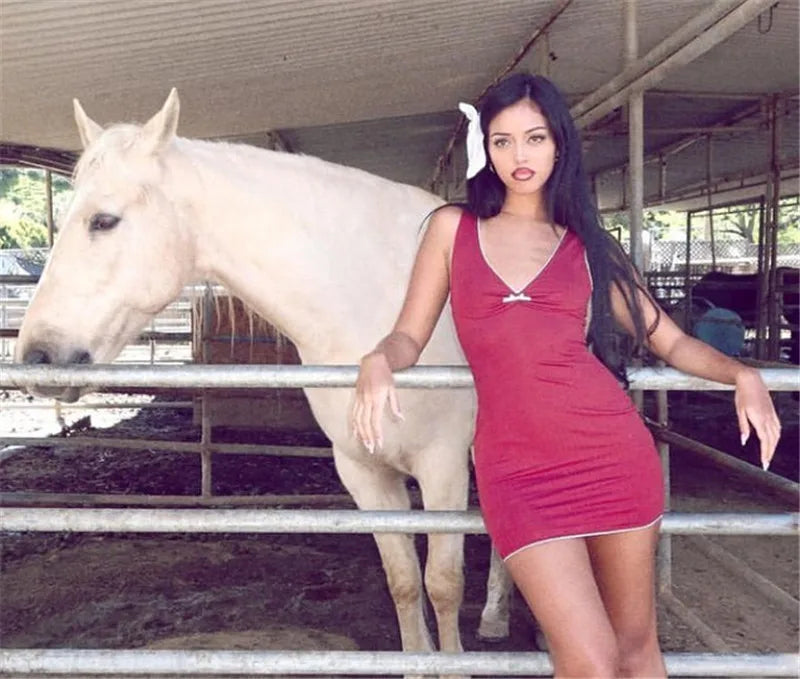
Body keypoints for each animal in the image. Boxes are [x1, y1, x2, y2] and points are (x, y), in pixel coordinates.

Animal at [15, 90, 512, 676]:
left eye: (104, 220)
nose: (36, 355)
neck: (378, 299)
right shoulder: (363, 472)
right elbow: (405, 581)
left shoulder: (441, 467)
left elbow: (443, 584)